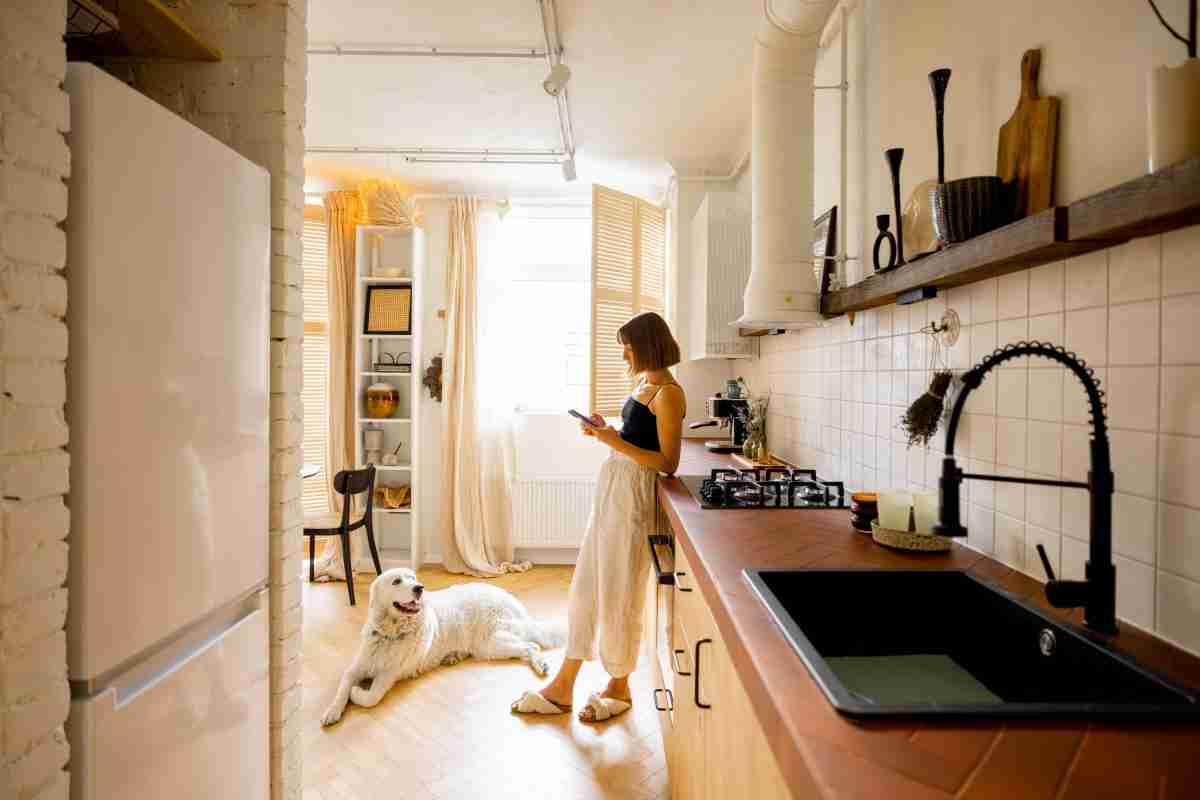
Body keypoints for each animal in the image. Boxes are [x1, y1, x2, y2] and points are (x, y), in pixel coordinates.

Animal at [319, 566, 561, 729]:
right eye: (396, 581)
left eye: (413, 578)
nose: (420, 588)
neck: (391, 633)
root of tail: (511, 598)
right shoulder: (355, 668)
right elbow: (341, 689)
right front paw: (332, 711)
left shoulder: (389, 675)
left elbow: (370, 698)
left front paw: (356, 693)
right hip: (490, 646)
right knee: (528, 646)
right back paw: (454, 656)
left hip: (492, 642)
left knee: (531, 646)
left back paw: (541, 665)